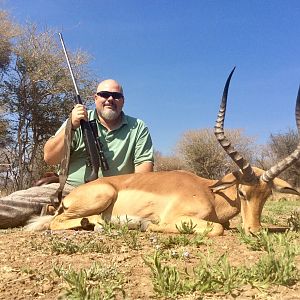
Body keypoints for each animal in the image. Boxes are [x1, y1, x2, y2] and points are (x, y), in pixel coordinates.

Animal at [26, 69, 300, 236]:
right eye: (242, 192)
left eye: (267, 195)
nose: (255, 231)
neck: (209, 193)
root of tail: (70, 195)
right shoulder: (177, 217)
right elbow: (217, 228)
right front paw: (147, 224)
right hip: (102, 195)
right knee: (56, 222)